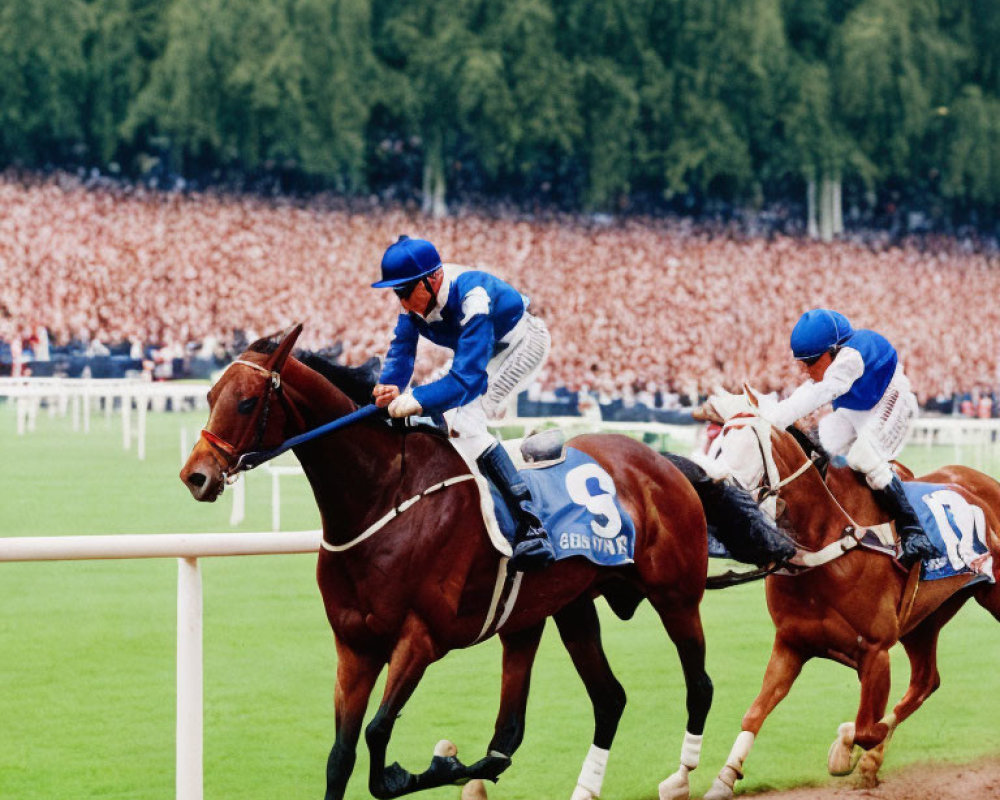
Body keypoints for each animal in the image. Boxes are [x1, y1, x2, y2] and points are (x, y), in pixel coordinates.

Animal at [178, 324, 712, 800]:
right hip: (566, 607)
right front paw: (450, 765)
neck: (383, 497)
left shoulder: (422, 637)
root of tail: (662, 461)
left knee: (699, 686)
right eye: (209, 394)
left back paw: (682, 777)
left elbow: (378, 740)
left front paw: (435, 765)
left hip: (675, 595)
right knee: (597, 702)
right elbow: (341, 756)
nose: (195, 476)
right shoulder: (355, 646)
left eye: (247, 402)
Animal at [700, 394, 1000, 800]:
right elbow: (755, 712)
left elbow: (864, 727)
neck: (829, 541)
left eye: (748, 447)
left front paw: (845, 747)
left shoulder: (875, 651)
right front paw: (724, 778)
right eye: (716, 444)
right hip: (924, 618)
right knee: (926, 680)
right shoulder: (790, 644)